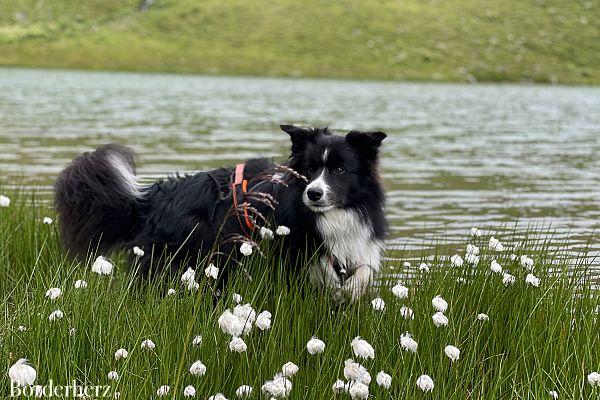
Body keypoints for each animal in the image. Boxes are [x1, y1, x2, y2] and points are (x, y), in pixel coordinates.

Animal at [54, 126, 386, 298]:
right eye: (309, 169)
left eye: (340, 170)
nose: (314, 194)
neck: (332, 216)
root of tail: (151, 197)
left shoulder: (358, 245)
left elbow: (363, 271)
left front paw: (351, 289)